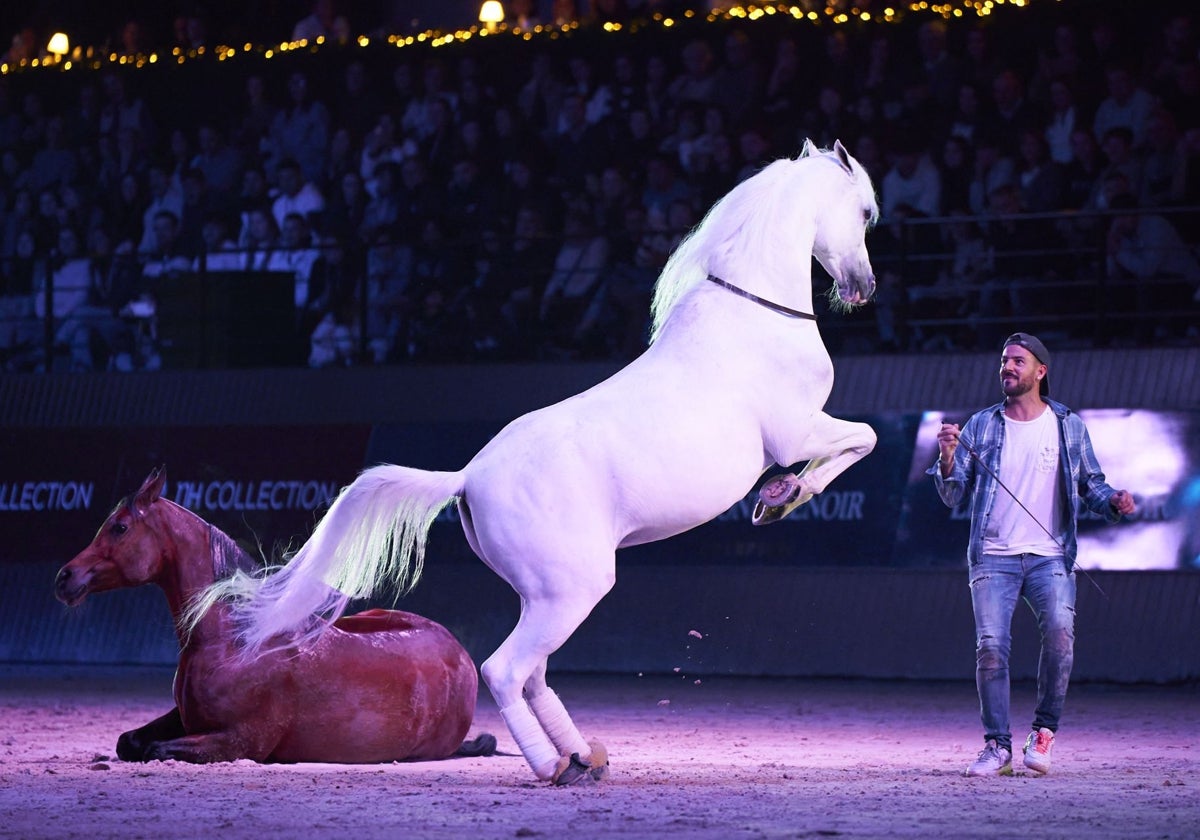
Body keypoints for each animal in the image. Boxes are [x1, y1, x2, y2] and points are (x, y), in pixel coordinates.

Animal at [54, 470, 494, 763]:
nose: (65, 578)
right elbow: (129, 742)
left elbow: (155, 750)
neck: (235, 640)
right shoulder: (184, 717)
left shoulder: (239, 740)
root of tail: (462, 654)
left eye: (120, 527)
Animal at [189, 139, 883, 787]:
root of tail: (468, 478)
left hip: (544, 597)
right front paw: (782, 498)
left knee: (532, 675)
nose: (865, 288)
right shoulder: (796, 431)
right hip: (571, 591)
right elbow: (863, 438)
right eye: (866, 212)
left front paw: (779, 498)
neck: (751, 316)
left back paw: (583, 758)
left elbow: (861, 440)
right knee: (506, 670)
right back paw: (554, 765)